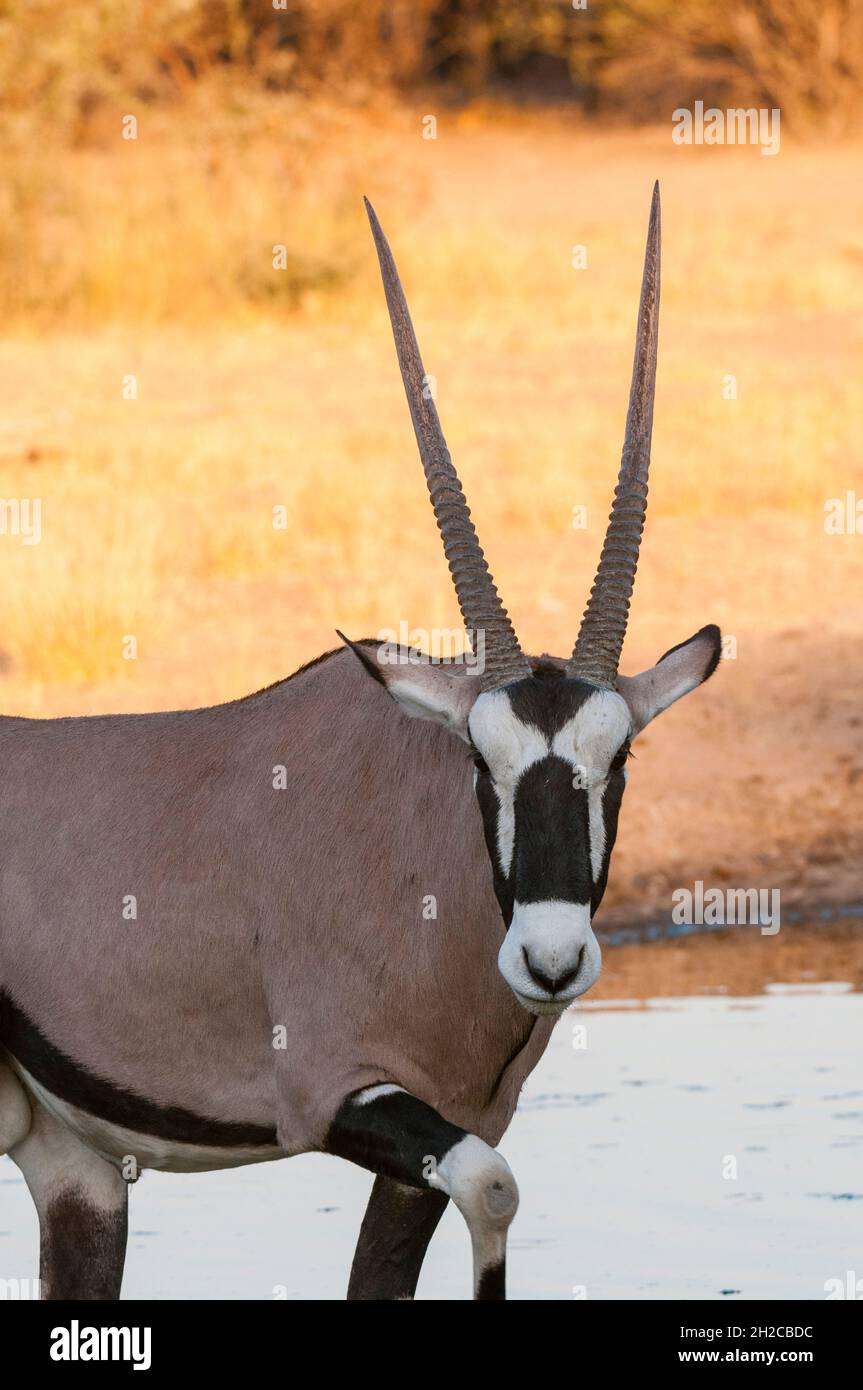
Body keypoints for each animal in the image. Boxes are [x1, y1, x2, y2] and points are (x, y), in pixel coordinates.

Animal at [0, 179, 722, 1295]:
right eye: (479, 762)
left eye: (618, 761)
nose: (551, 960)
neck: (419, 855)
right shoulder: (339, 1094)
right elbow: (496, 1190)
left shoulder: (444, 1127)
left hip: (71, 1161)